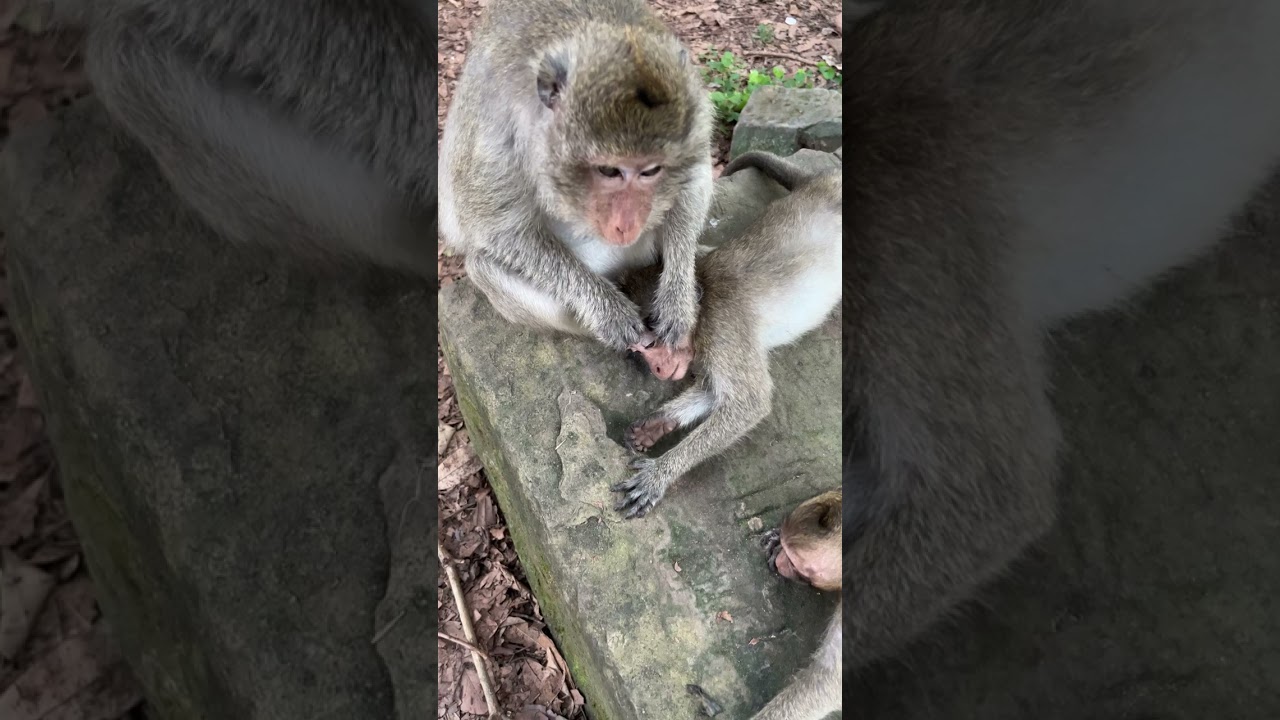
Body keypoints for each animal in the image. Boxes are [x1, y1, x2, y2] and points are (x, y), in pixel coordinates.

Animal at [438, 0, 714, 353]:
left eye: (651, 170)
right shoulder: (493, 134)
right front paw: (608, 309)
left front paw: (677, 299)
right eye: (609, 171)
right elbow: (499, 231)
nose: (627, 225)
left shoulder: (694, 111)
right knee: (484, 266)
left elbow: (694, 177)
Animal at [612, 151, 841, 518]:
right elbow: (713, 391)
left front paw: (662, 471)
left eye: (652, 343)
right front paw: (658, 423)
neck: (703, 300)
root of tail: (820, 182)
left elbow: (749, 401)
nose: (656, 368)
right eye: (638, 351)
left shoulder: (723, 328)